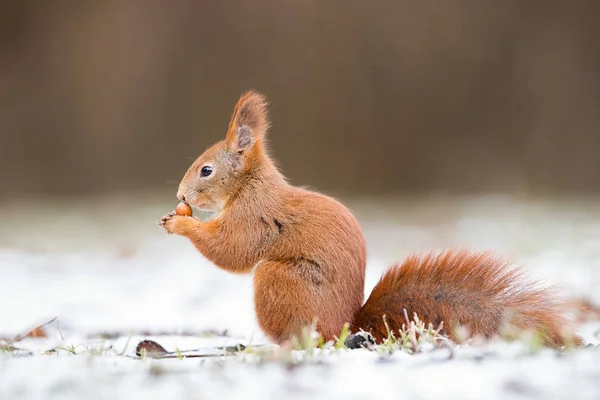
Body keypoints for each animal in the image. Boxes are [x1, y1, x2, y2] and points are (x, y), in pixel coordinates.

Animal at [159, 90, 580, 346]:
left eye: (206, 171)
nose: (181, 196)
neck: (250, 183)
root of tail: (350, 324)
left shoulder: (255, 215)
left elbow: (232, 250)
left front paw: (181, 224)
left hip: (280, 281)